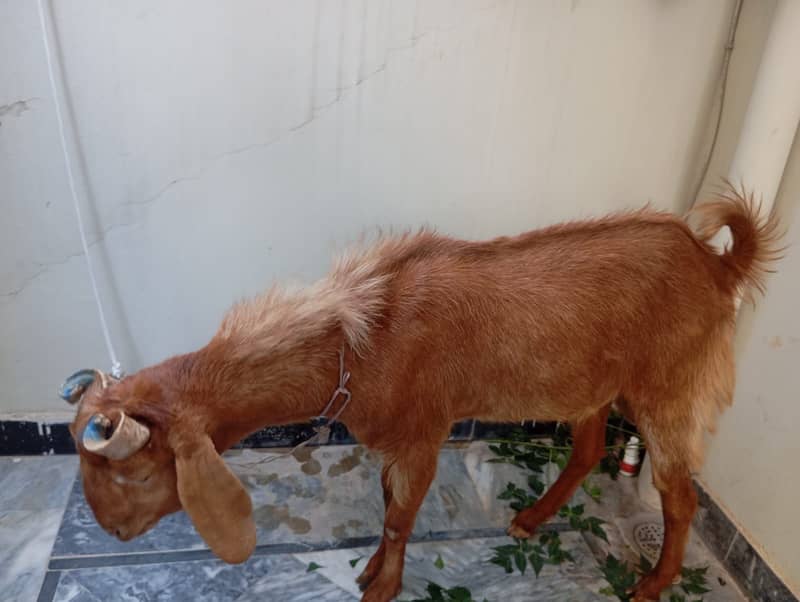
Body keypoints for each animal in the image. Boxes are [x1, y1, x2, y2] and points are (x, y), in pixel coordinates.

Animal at [63, 186, 781, 601]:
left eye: (133, 470)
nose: (112, 530)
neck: (360, 341)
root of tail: (717, 264)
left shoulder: (424, 435)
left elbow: (400, 516)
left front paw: (382, 589)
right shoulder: (393, 442)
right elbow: (388, 508)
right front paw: (371, 571)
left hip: (669, 391)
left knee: (681, 496)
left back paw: (652, 585)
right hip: (592, 386)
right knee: (586, 449)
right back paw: (531, 519)